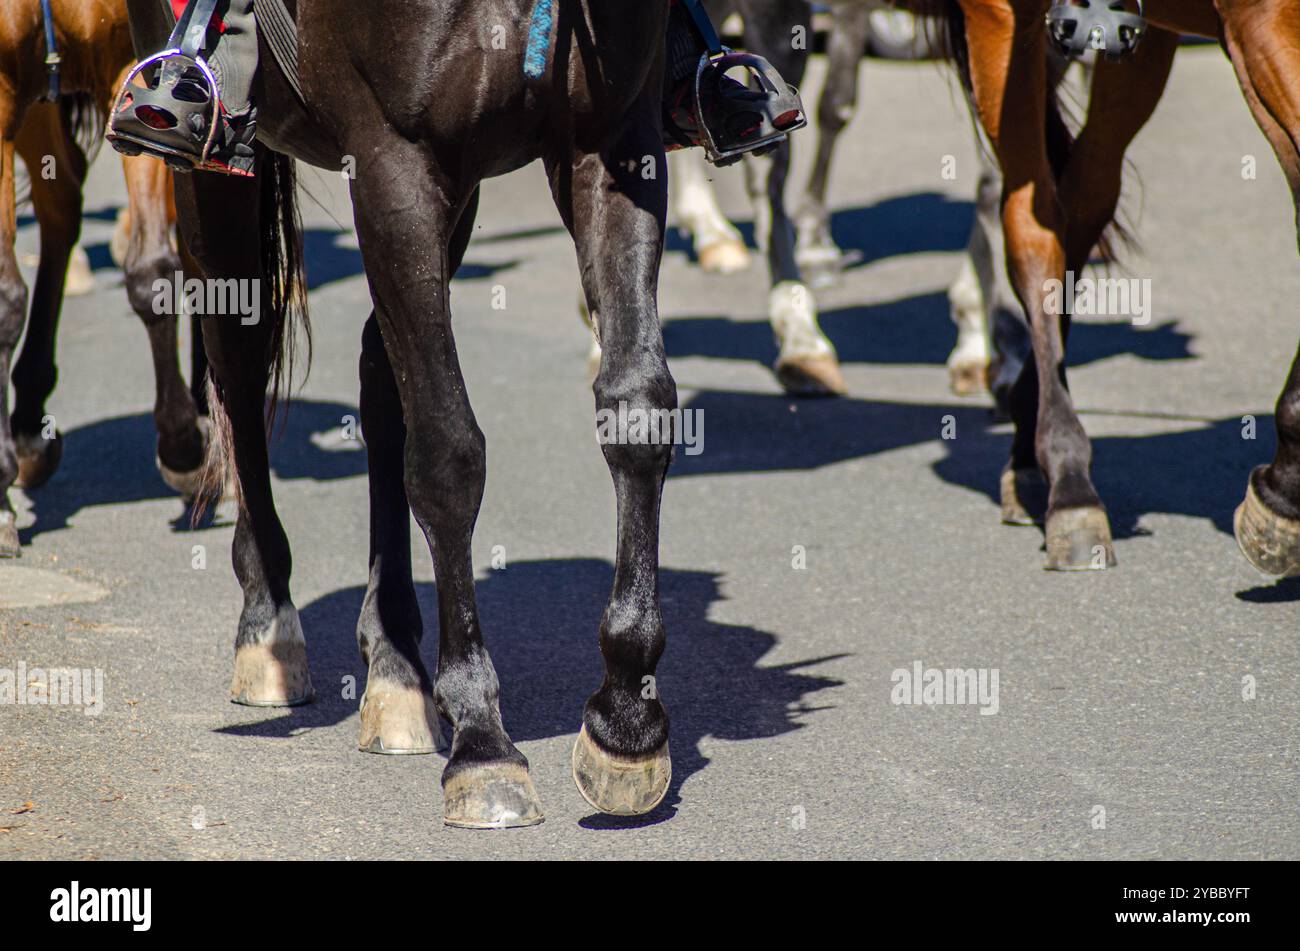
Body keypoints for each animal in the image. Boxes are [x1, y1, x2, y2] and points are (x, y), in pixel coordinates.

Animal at [0, 0, 208, 556]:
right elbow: (6, 299)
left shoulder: (138, 65)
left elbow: (152, 274)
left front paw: (183, 446)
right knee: (62, 204)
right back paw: (27, 426)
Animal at [123, 0, 683, 826]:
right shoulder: (395, 164)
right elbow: (449, 451)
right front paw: (482, 737)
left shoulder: (610, 143)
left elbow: (636, 408)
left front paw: (626, 720)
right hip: (223, 174)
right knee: (241, 353)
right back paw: (268, 617)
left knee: (380, 376)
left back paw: (394, 659)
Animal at [911, 0, 1300, 575]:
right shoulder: (1261, 26)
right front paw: (1283, 492)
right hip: (1001, 21)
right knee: (1033, 228)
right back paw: (1069, 482)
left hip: (1144, 39)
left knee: (1084, 198)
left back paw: (1028, 444)